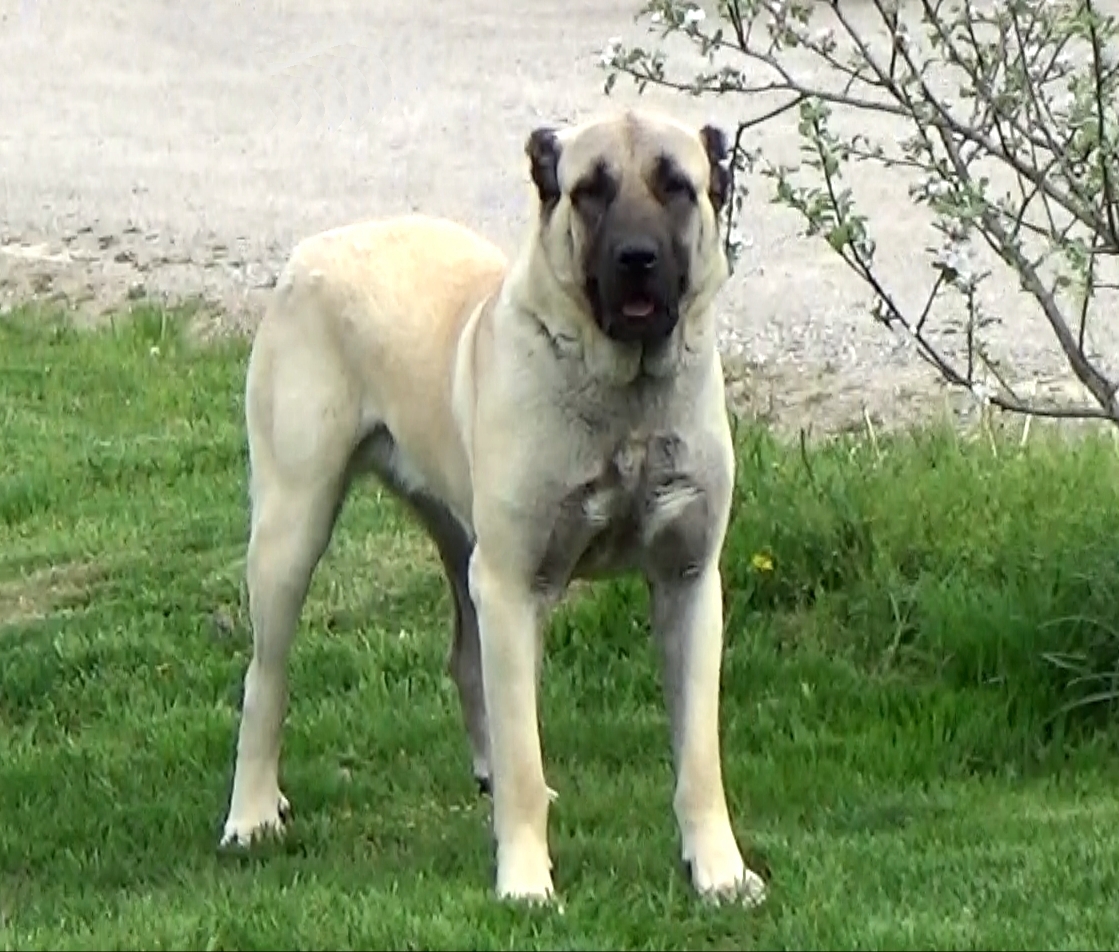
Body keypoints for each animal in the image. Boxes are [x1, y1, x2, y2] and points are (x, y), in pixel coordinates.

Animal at [217, 107, 765, 903]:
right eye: (590, 191)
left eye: (675, 186)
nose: (635, 258)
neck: (622, 400)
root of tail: (314, 248)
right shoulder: (511, 584)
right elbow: (525, 759)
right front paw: (526, 883)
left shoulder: (688, 584)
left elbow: (698, 758)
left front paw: (720, 872)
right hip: (293, 529)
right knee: (267, 677)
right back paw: (253, 813)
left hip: (462, 544)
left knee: (468, 663)